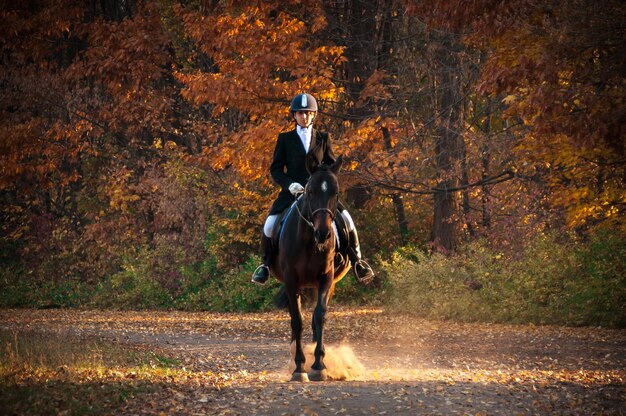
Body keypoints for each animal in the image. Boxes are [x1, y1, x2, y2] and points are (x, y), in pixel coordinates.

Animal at [272, 155, 352, 380]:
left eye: (335, 192)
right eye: (310, 192)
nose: (323, 233)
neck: (310, 240)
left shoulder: (326, 278)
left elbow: (319, 316)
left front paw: (319, 365)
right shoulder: (291, 281)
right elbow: (297, 321)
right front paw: (299, 367)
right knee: (294, 320)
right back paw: (294, 360)